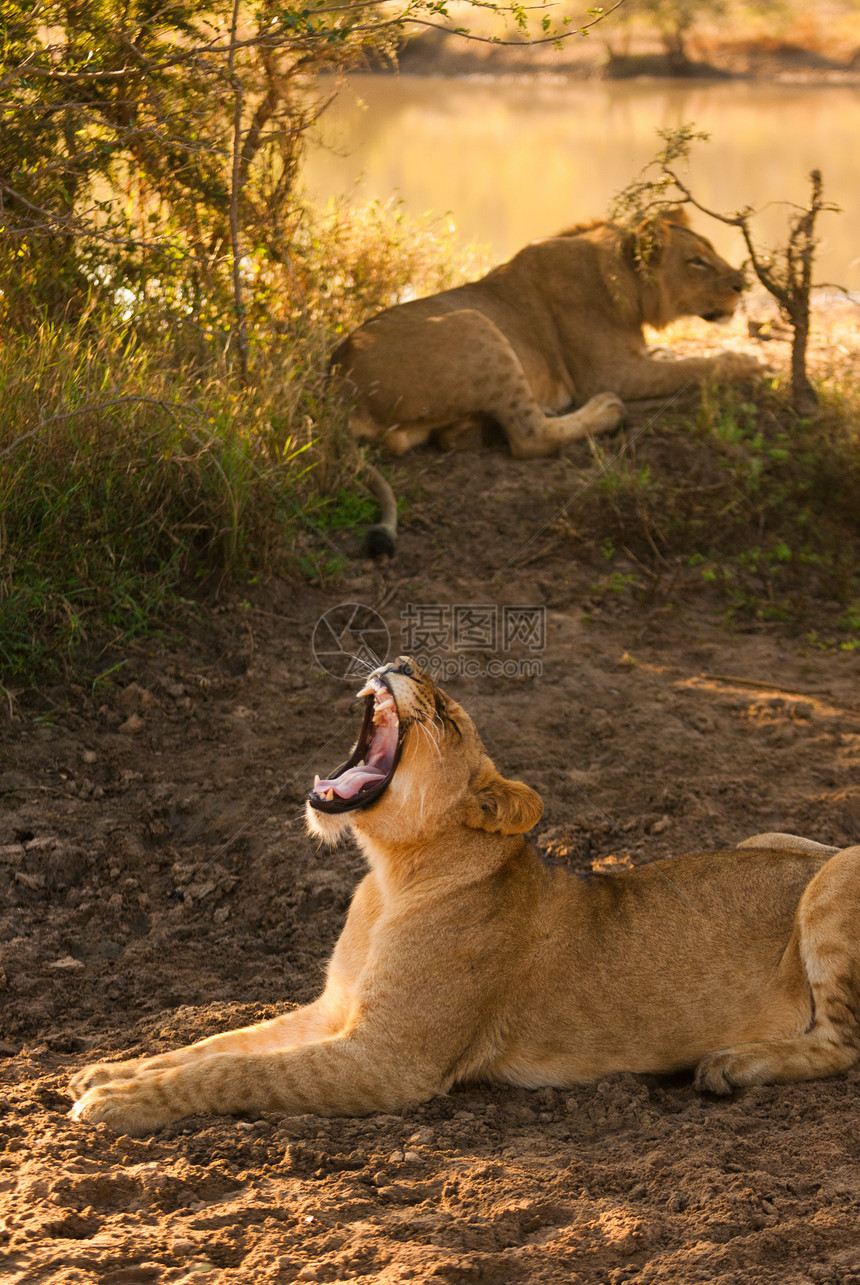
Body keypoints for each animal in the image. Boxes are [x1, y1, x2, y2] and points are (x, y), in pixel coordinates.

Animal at [331, 206, 761, 552]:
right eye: (696, 262)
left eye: (710, 252)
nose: (743, 284)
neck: (623, 276)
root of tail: (338, 387)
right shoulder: (613, 374)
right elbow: (696, 368)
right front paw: (747, 362)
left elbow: (672, 358)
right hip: (476, 324)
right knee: (530, 436)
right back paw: (606, 411)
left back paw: (472, 430)